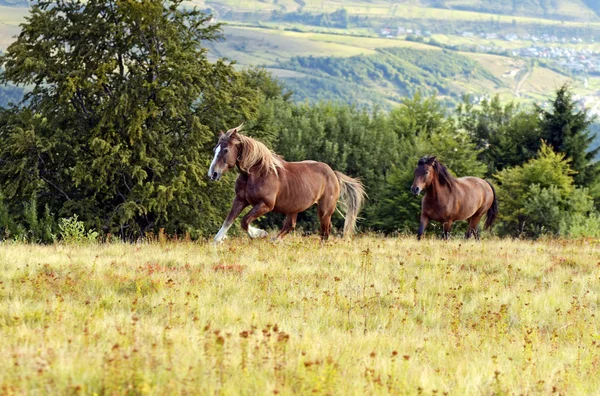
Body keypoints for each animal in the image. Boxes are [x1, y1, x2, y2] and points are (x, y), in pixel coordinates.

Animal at [207, 124, 366, 241]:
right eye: (215, 149)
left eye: (226, 150)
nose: (213, 174)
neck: (256, 173)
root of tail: (333, 173)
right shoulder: (240, 200)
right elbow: (228, 222)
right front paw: (217, 241)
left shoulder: (265, 205)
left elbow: (244, 221)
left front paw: (260, 234)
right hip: (293, 208)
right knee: (290, 226)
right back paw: (274, 241)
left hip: (324, 210)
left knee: (325, 231)